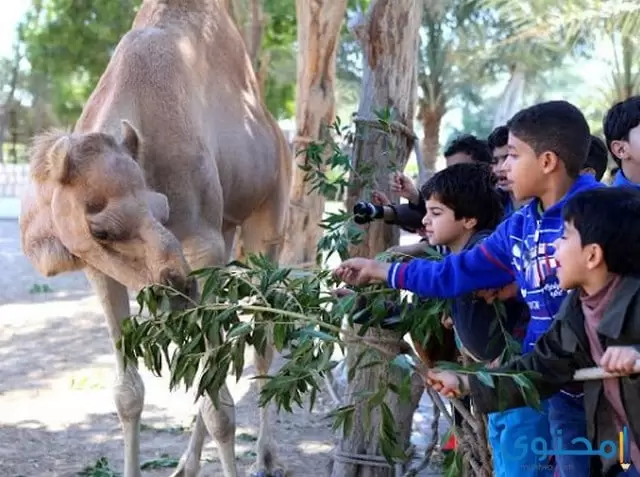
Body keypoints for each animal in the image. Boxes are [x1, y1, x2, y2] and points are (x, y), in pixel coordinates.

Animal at [17, 0, 292, 476]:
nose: (178, 285)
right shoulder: (99, 267)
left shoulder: (202, 246)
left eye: (162, 207)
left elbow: (219, 406)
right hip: (227, 230)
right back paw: (187, 464)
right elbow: (128, 394)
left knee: (262, 339)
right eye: (100, 229)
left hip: (267, 218)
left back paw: (265, 458)